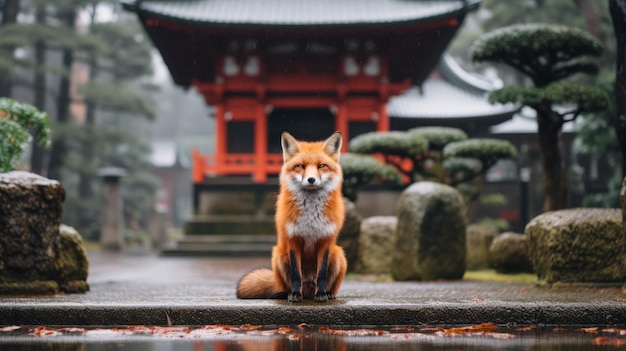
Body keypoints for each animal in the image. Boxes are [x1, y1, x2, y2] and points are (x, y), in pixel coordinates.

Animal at [236, 132, 348, 302]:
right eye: (300, 166)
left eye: (321, 166)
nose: (311, 179)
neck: (310, 216)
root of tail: (308, 291)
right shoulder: (293, 239)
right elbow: (296, 274)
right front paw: (295, 294)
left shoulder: (325, 240)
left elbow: (321, 274)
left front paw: (321, 294)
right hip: (279, 255)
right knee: (286, 287)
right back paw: (286, 294)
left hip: (338, 255)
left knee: (325, 285)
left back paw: (327, 294)